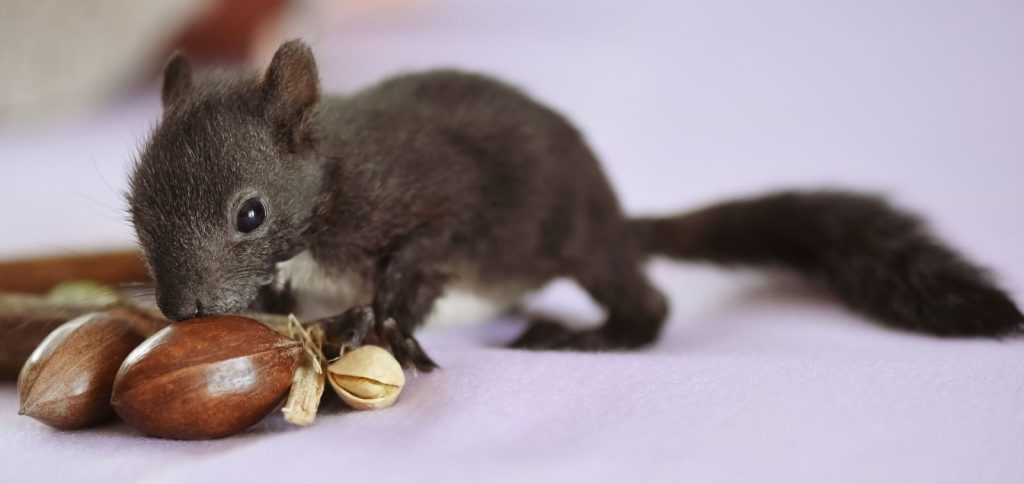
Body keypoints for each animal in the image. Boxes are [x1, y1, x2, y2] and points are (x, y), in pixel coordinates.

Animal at [127, 40, 1023, 371]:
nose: (181, 309)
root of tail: (617, 212)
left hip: (582, 242)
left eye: (250, 214)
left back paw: (591, 337)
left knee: (647, 301)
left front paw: (382, 324)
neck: (334, 174)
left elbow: (420, 262)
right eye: (134, 211)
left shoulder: (434, 205)